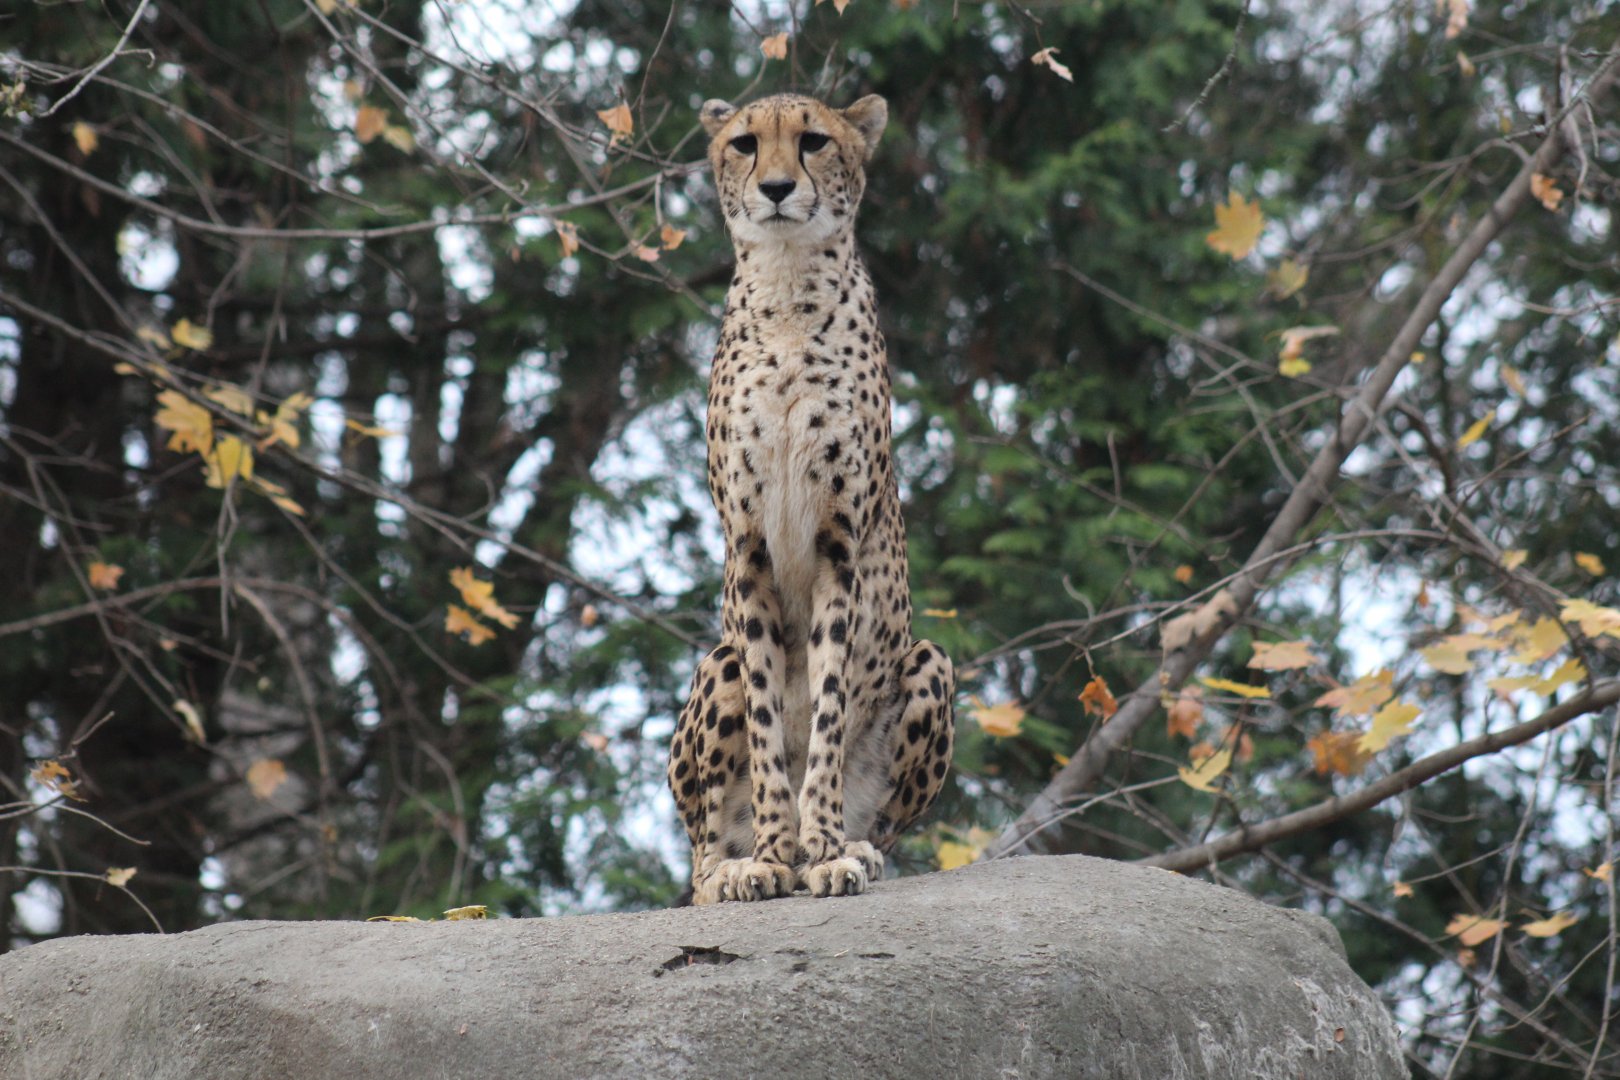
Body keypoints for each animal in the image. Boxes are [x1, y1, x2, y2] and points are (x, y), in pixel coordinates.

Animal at [667, 92, 956, 906]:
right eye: (744, 144)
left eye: (814, 141)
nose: (774, 188)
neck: (790, 292)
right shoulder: (749, 549)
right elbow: (770, 717)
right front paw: (773, 851)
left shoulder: (839, 549)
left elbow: (826, 708)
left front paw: (820, 847)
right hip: (717, 662)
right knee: (699, 850)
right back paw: (730, 866)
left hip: (930, 660)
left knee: (886, 825)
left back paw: (856, 846)